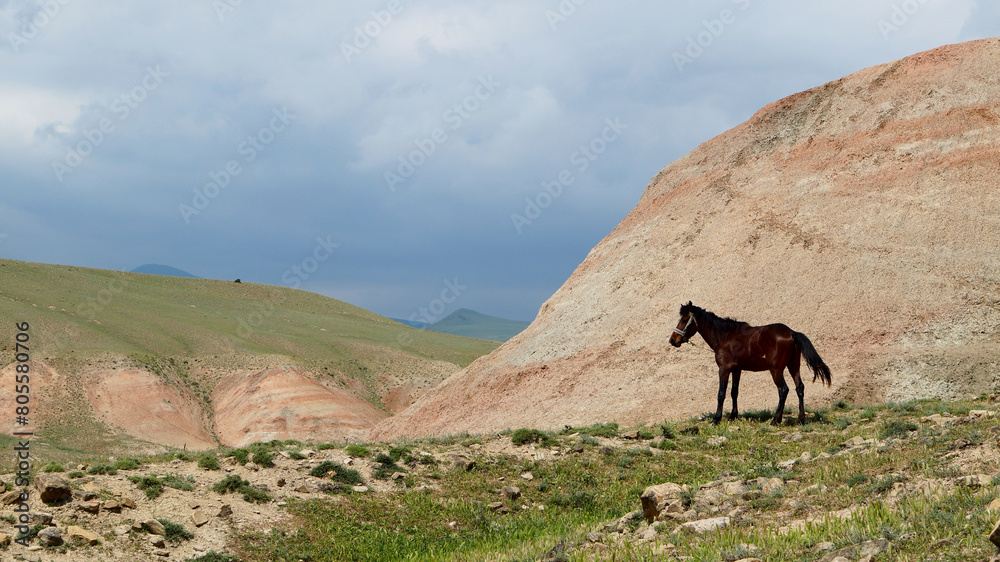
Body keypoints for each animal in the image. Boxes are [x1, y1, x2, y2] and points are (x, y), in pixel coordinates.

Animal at [672, 302, 828, 424]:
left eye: (685, 319)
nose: (673, 340)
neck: (725, 337)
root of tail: (791, 332)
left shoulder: (724, 369)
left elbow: (721, 393)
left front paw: (717, 419)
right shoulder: (737, 369)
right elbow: (734, 392)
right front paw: (733, 416)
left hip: (776, 370)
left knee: (783, 390)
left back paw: (775, 420)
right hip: (793, 367)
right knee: (799, 388)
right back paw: (801, 419)